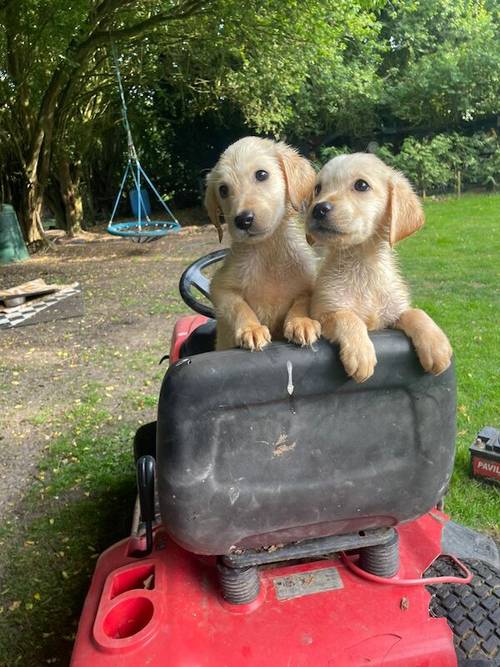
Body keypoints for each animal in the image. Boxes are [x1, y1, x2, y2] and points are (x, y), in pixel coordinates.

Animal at [206, 138, 320, 352]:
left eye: (261, 174)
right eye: (223, 190)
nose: (243, 220)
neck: (268, 250)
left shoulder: (310, 284)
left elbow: (303, 301)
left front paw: (301, 321)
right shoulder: (220, 287)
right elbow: (239, 307)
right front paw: (252, 328)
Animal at [308, 151, 454, 380]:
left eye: (361, 185)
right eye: (318, 188)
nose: (318, 209)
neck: (363, 266)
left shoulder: (391, 315)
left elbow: (415, 312)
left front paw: (436, 345)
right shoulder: (322, 312)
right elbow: (347, 316)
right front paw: (360, 352)